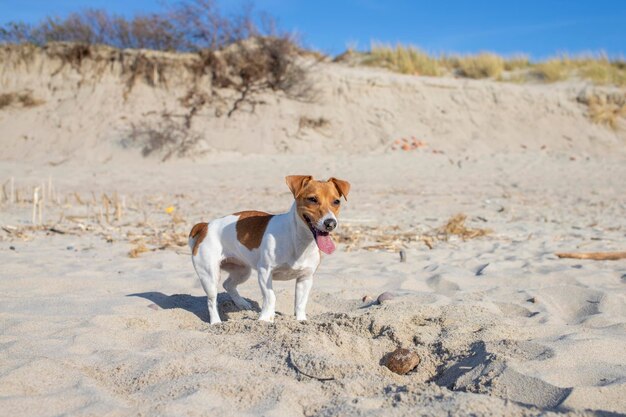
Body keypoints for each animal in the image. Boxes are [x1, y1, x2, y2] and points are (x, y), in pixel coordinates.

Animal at [188, 174, 348, 324]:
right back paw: (216, 322)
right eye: (312, 199)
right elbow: (270, 297)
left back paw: (242, 304)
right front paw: (265, 319)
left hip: (242, 271)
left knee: (228, 284)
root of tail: (205, 225)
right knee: (211, 301)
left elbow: (300, 303)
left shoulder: (305, 278)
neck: (298, 241)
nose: (330, 223)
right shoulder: (265, 273)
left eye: (336, 201)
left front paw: (301, 321)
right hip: (210, 276)